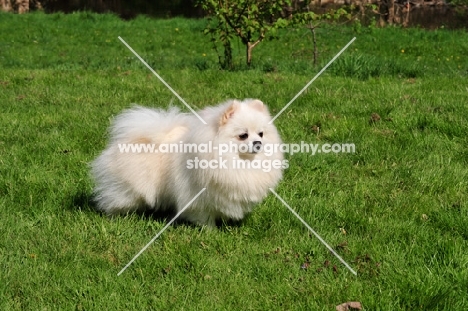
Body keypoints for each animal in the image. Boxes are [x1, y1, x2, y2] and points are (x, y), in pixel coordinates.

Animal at [89, 99, 284, 227]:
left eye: (261, 134)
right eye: (243, 135)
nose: (258, 143)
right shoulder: (197, 196)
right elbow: (205, 217)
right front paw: (211, 230)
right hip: (128, 188)